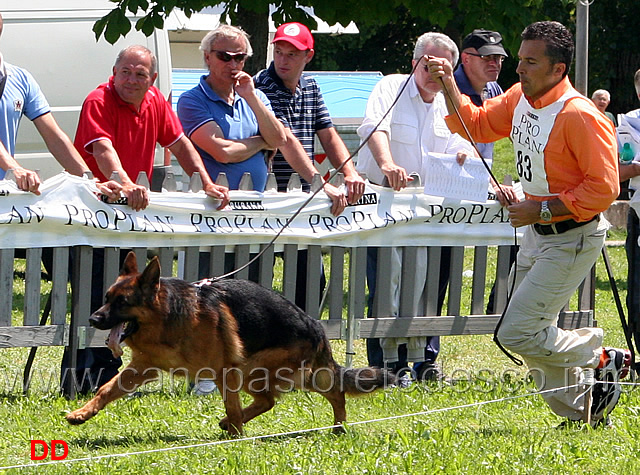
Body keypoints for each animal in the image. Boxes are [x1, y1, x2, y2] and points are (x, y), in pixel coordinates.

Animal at [66, 253, 396, 436]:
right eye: (107, 297)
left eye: (122, 302)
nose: (93, 319)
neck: (170, 316)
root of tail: (315, 325)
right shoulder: (142, 367)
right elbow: (106, 389)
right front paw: (82, 414)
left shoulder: (225, 371)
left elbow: (233, 406)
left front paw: (238, 441)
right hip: (271, 373)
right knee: (270, 400)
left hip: (258, 369)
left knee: (332, 392)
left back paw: (339, 426)